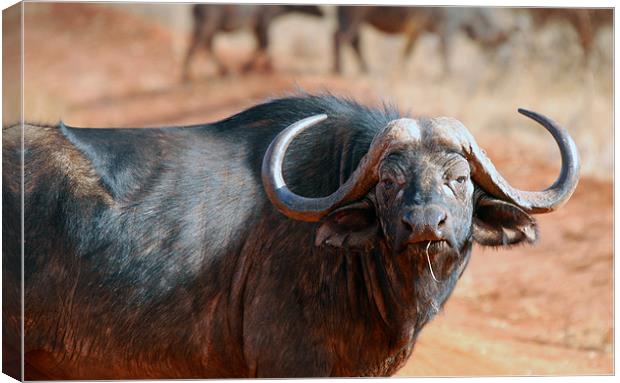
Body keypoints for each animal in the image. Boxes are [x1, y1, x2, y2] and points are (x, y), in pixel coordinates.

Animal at [180, 3, 322, 81]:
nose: (323, 13)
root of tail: (195, 7)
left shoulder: (256, 26)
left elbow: (260, 44)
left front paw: (256, 67)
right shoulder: (264, 22)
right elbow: (264, 43)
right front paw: (257, 67)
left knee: (206, 46)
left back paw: (223, 71)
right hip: (208, 25)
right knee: (197, 46)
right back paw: (188, 76)